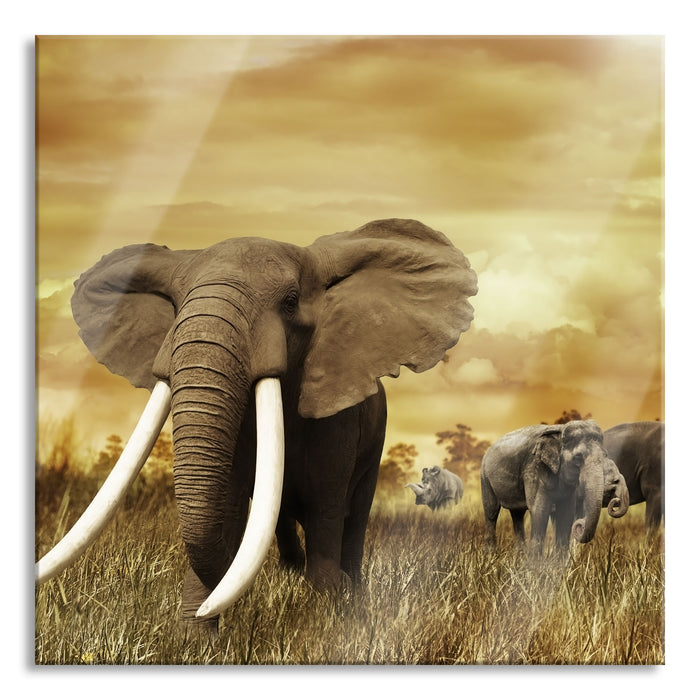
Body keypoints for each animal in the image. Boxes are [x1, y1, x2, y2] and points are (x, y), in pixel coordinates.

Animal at [35, 218, 478, 637]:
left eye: (290, 302)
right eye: (175, 306)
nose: (203, 614)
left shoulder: (338, 419)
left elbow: (326, 506)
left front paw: (324, 621)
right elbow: (226, 507)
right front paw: (196, 643)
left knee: (353, 517)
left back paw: (350, 590)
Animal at [480, 420, 614, 552]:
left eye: (605, 455)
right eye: (578, 457)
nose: (580, 524)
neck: (561, 428)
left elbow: (566, 513)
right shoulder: (534, 469)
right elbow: (539, 510)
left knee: (517, 515)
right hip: (485, 477)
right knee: (491, 512)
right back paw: (490, 553)